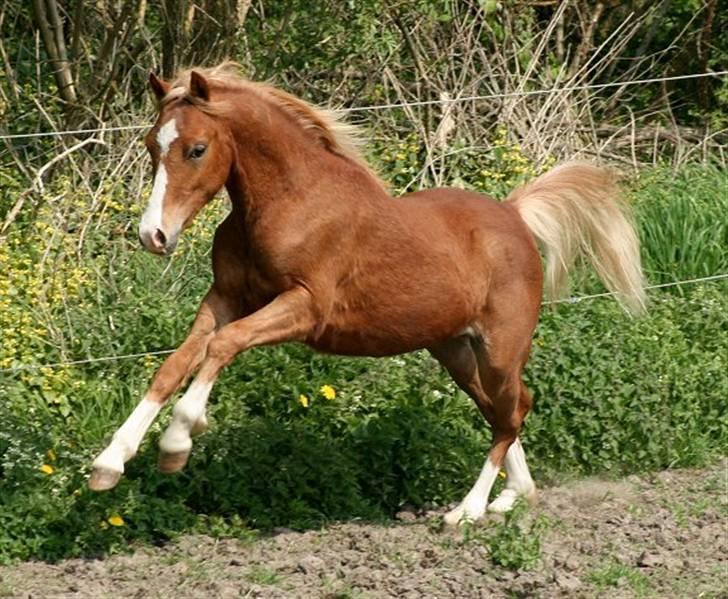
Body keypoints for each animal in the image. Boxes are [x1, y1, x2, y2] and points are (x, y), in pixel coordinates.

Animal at [89, 63, 645, 525]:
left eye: (197, 149)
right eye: (151, 145)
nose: (153, 236)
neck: (289, 203)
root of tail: (513, 214)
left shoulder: (305, 308)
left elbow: (223, 346)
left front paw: (178, 441)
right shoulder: (225, 297)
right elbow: (175, 363)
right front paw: (109, 462)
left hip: (500, 348)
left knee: (512, 413)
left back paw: (466, 511)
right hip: (455, 351)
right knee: (504, 411)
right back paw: (512, 497)